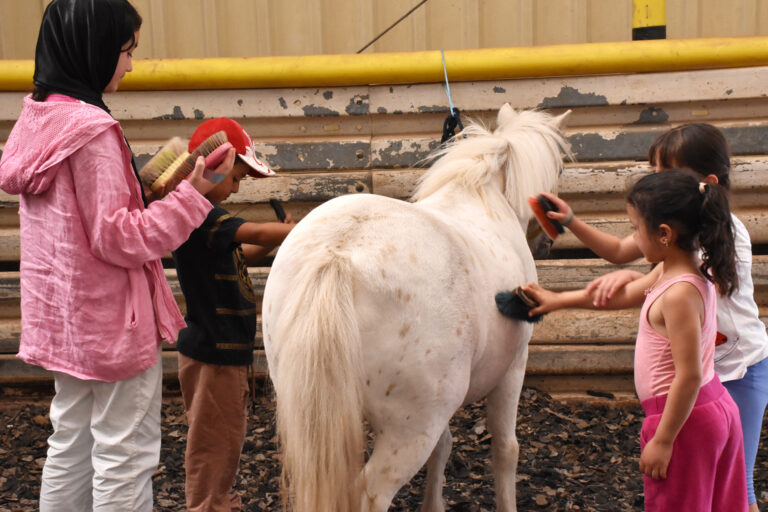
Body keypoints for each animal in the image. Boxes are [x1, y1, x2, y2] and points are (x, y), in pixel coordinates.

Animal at [261, 104, 570, 512]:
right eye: (559, 171)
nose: (546, 245)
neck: (481, 195)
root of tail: (338, 255)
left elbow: (444, 447)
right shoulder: (512, 369)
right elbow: (506, 450)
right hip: (411, 429)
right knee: (370, 493)